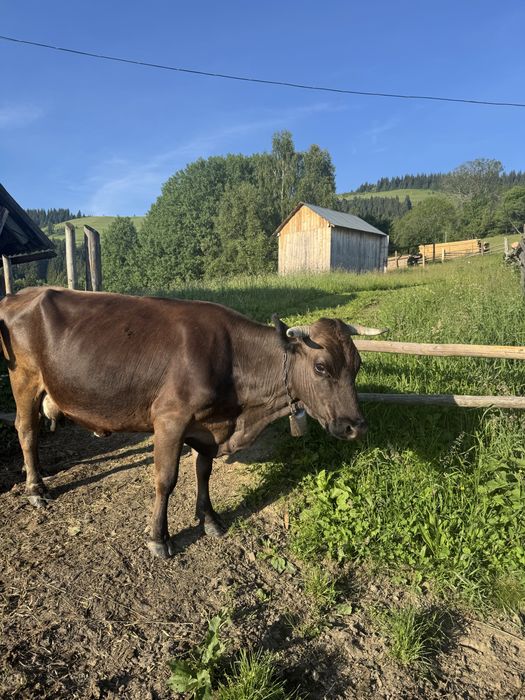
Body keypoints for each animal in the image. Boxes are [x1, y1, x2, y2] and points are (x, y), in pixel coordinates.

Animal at [0, 287, 384, 558]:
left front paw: (209, 518)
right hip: (25, 378)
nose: (356, 426)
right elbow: (166, 480)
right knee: (26, 430)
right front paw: (159, 537)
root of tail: (21, 294)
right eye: (321, 367)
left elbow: (203, 472)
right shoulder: (170, 418)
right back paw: (36, 488)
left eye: (358, 365)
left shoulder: (209, 427)